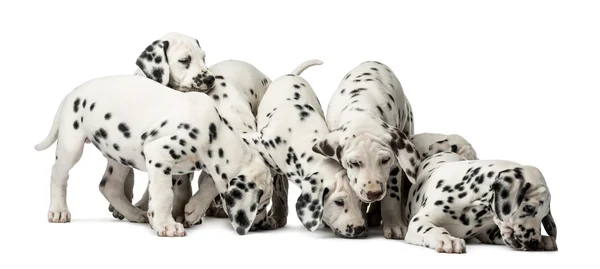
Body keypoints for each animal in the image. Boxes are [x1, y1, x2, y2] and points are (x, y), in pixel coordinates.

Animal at [34, 74, 274, 236]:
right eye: (261, 205)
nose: (261, 226)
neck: (212, 133)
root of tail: (71, 93)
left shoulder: (176, 169)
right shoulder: (159, 155)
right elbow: (165, 195)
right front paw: (166, 225)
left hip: (119, 155)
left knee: (109, 186)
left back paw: (133, 214)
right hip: (71, 145)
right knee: (58, 175)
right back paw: (58, 210)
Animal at [314, 61, 422, 239]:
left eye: (385, 160)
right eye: (354, 163)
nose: (374, 193)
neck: (361, 107)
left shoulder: (395, 166)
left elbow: (392, 195)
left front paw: (394, 224)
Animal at [404, 135, 556, 252]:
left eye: (544, 216)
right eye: (529, 208)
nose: (535, 243)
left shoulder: (489, 233)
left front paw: (544, 240)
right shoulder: (419, 221)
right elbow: (431, 229)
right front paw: (447, 239)